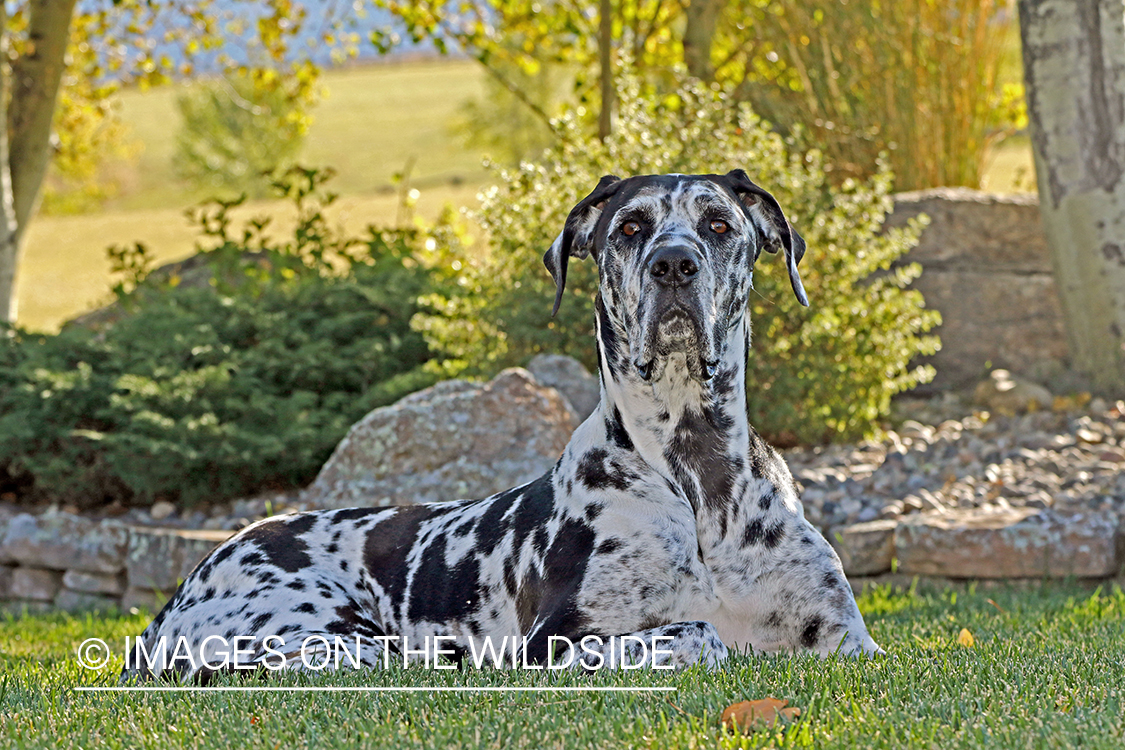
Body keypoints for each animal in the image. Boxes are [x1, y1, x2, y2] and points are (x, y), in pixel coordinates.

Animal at [120, 172, 877, 688]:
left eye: (719, 224)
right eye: (630, 228)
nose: (673, 264)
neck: (695, 473)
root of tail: (176, 596)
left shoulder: (851, 645)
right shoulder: (552, 645)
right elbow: (702, 633)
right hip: (340, 638)